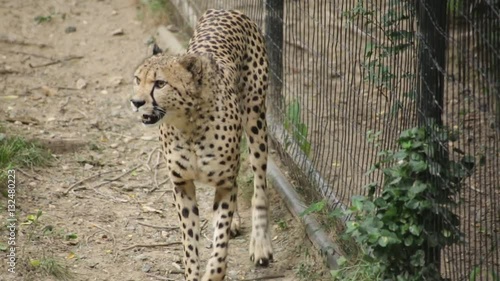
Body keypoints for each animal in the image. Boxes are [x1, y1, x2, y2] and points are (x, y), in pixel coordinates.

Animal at [130, 9, 274, 280]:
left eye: (160, 84)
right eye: (137, 79)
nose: (136, 102)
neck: (188, 126)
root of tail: (227, 10)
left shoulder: (224, 184)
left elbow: (219, 244)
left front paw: (214, 271)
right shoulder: (182, 184)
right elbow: (190, 241)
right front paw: (192, 272)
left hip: (256, 118)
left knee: (259, 182)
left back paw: (260, 244)